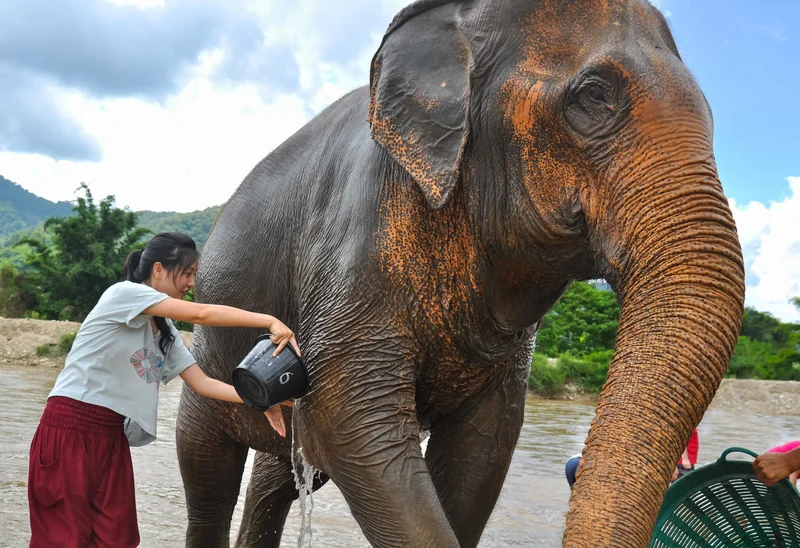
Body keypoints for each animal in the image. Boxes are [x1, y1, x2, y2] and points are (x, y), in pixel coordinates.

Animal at [175, 0, 745, 546]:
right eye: (593, 96)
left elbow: (483, 447)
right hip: (208, 358)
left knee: (278, 477)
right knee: (207, 479)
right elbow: (348, 419)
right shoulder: (358, 232)